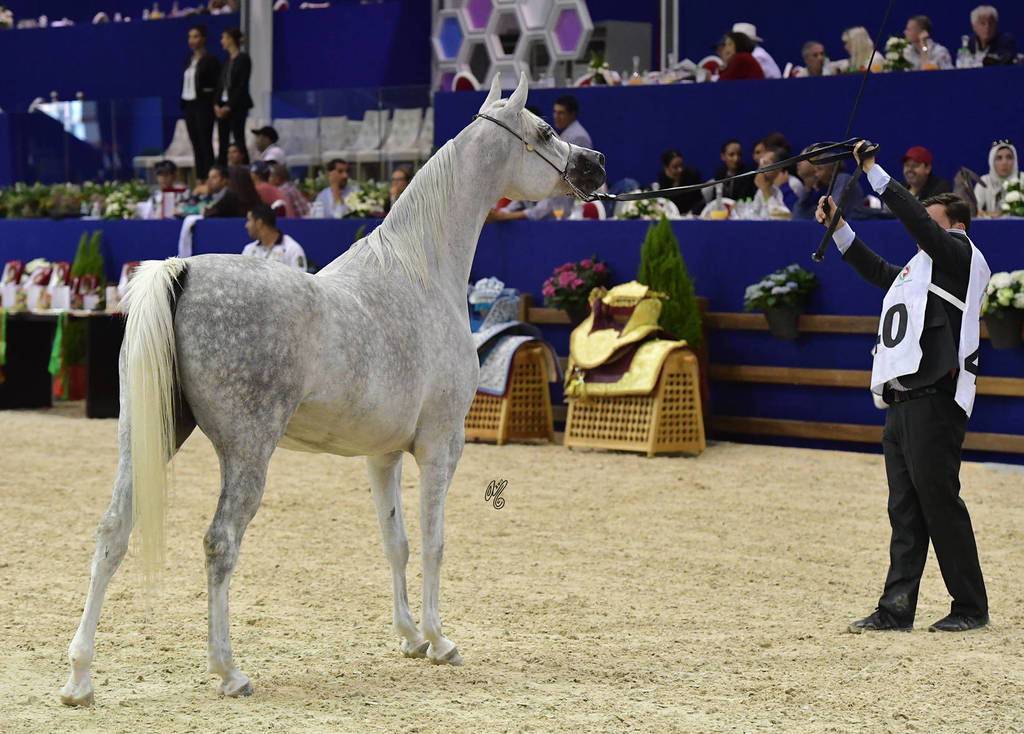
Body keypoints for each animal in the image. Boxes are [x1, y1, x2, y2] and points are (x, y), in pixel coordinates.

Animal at [59, 72, 606, 706]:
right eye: (543, 131)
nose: (595, 165)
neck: (420, 274)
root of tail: (184, 272)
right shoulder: (442, 446)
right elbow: (434, 541)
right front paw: (439, 640)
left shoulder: (382, 455)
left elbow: (395, 541)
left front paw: (409, 638)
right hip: (247, 452)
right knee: (220, 542)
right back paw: (228, 671)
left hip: (148, 436)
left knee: (112, 531)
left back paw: (79, 678)